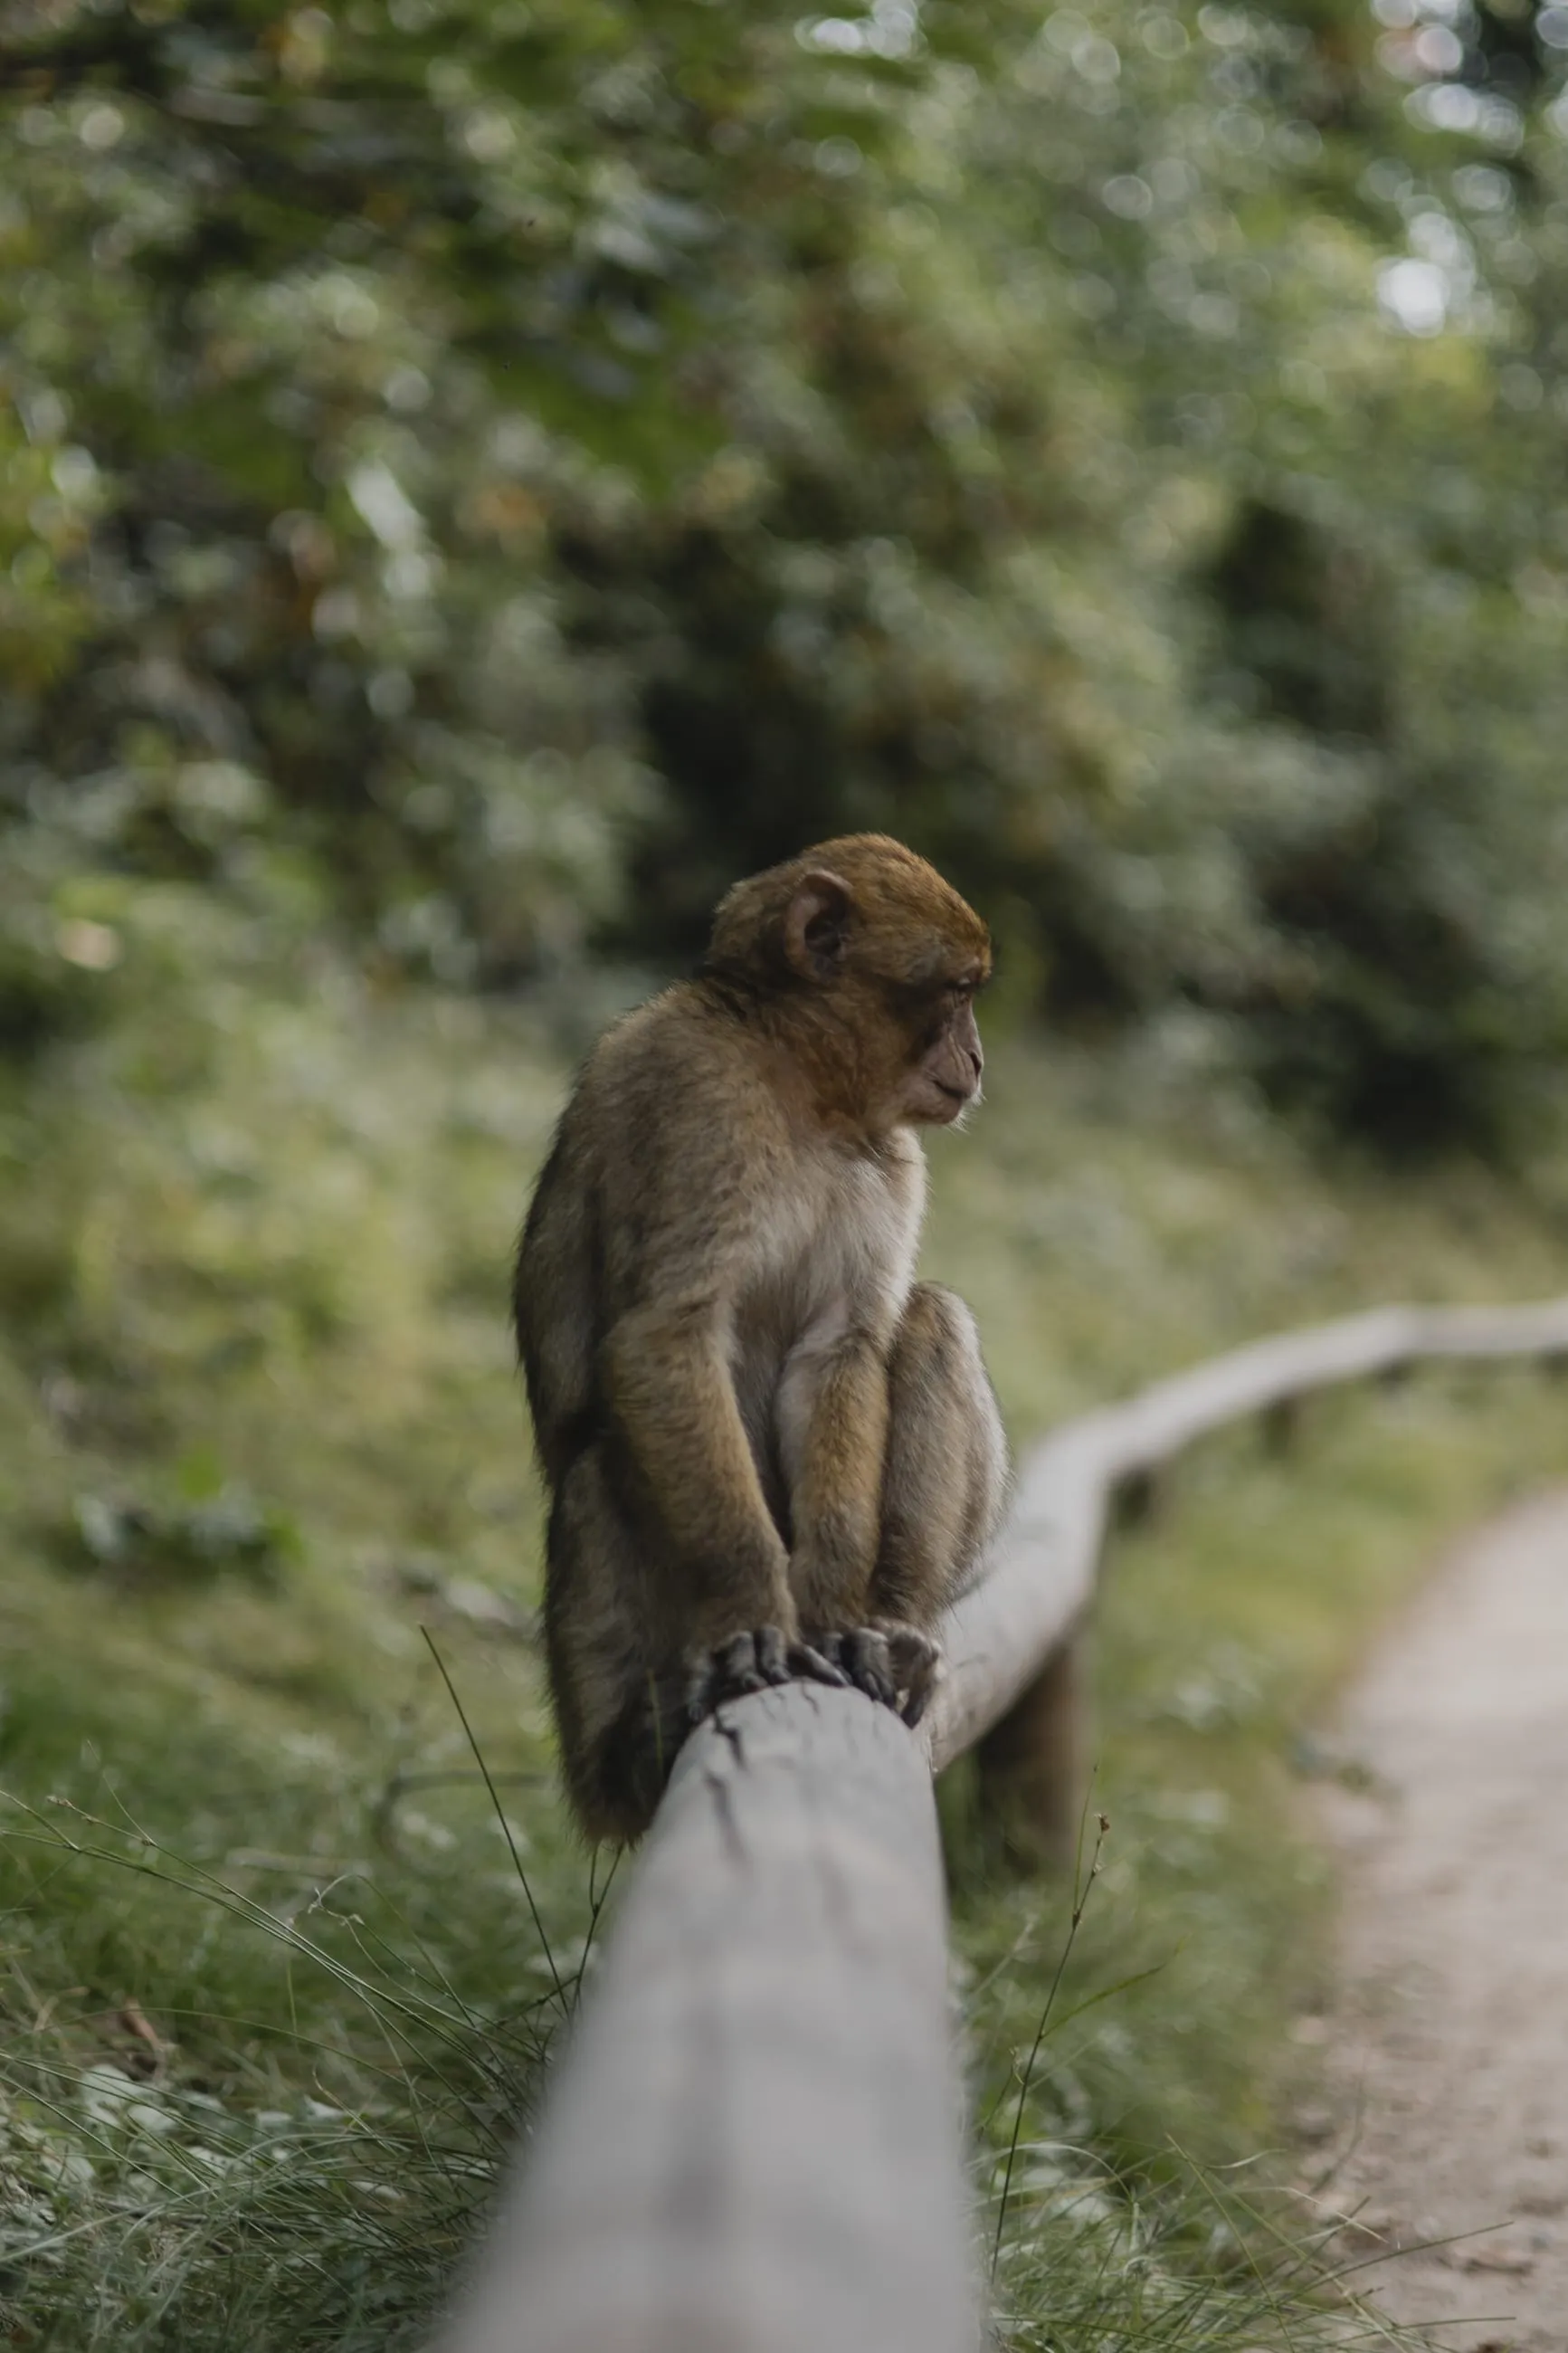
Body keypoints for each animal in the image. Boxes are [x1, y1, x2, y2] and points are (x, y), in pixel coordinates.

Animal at [513, 834, 1009, 1845]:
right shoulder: (697, 1095)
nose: (977, 1060)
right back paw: (635, 1746)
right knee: (593, 1463)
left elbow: (840, 1351)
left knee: (929, 1318)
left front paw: (831, 1606)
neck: (801, 1079)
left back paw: (897, 1621)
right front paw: (752, 1609)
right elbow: (664, 1337)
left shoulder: (891, 1160)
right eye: (954, 994)